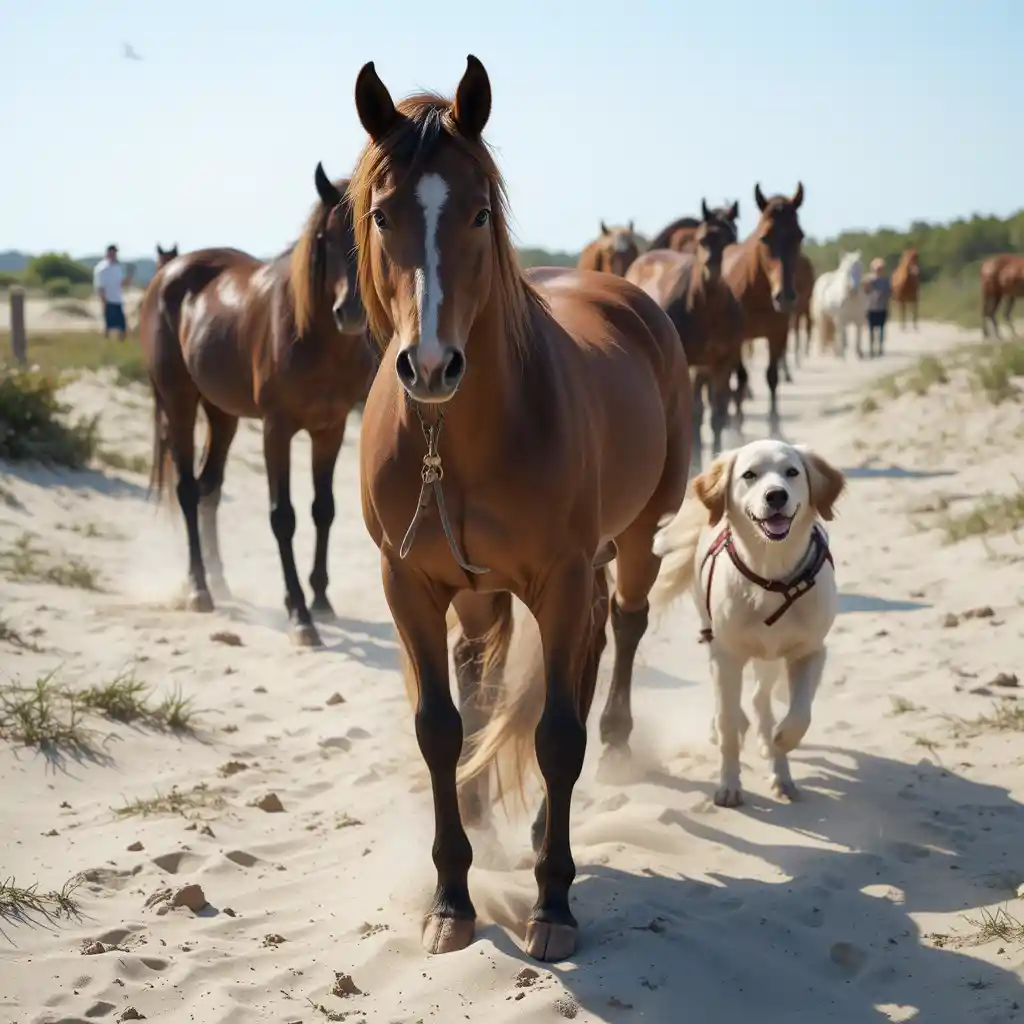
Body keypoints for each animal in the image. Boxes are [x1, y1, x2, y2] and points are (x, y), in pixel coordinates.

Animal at [137, 167, 376, 647]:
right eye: (323, 237)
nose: (351, 312)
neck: (314, 339)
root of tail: (168, 273)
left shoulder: (331, 428)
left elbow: (324, 509)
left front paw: (321, 599)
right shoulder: (276, 430)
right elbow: (283, 516)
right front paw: (299, 614)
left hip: (223, 415)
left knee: (209, 488)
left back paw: (221, 580)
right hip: (180, 404)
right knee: (188, 490)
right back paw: (200, 588)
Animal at [348, 56, 692, 962]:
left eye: (477, 212)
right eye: (382, 213)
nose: (431, 365)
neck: (455, 433)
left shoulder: (564, 578)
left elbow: (556, 736)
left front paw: (554, 903)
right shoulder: (411, 585)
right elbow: (443, 728)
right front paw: (451, 893)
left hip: (633, 538)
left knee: (620, 634)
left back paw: (608, 753)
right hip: (485, 590)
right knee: (500, 674)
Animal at [622, 200, 745, 471]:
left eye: (731, 238)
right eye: (702, 238)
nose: (712, 269)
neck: (705, 308)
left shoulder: (721, 363)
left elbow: (717, 414)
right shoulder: (689, 363)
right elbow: (696, 413)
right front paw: (696, 463)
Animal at [651, 440, 843, 806]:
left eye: (792, 472)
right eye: (749, 475)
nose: (776, 496)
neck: (772, 574)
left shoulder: (809, 651)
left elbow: (800, 714)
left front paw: (781, 742)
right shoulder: (726, 654)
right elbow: (727, 721)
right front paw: (729, 785)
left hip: (770, 655)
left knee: (760, 700)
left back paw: (779, 768)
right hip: (714, 633)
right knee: (734, 706)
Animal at [724, 184, 802, 432]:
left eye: (800, 236)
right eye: (765, 238)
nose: (784, 296)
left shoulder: (777, 333)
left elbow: (772, 376)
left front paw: (775, 423)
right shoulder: (736, 339)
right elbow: (741, 376)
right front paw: (738, 423)